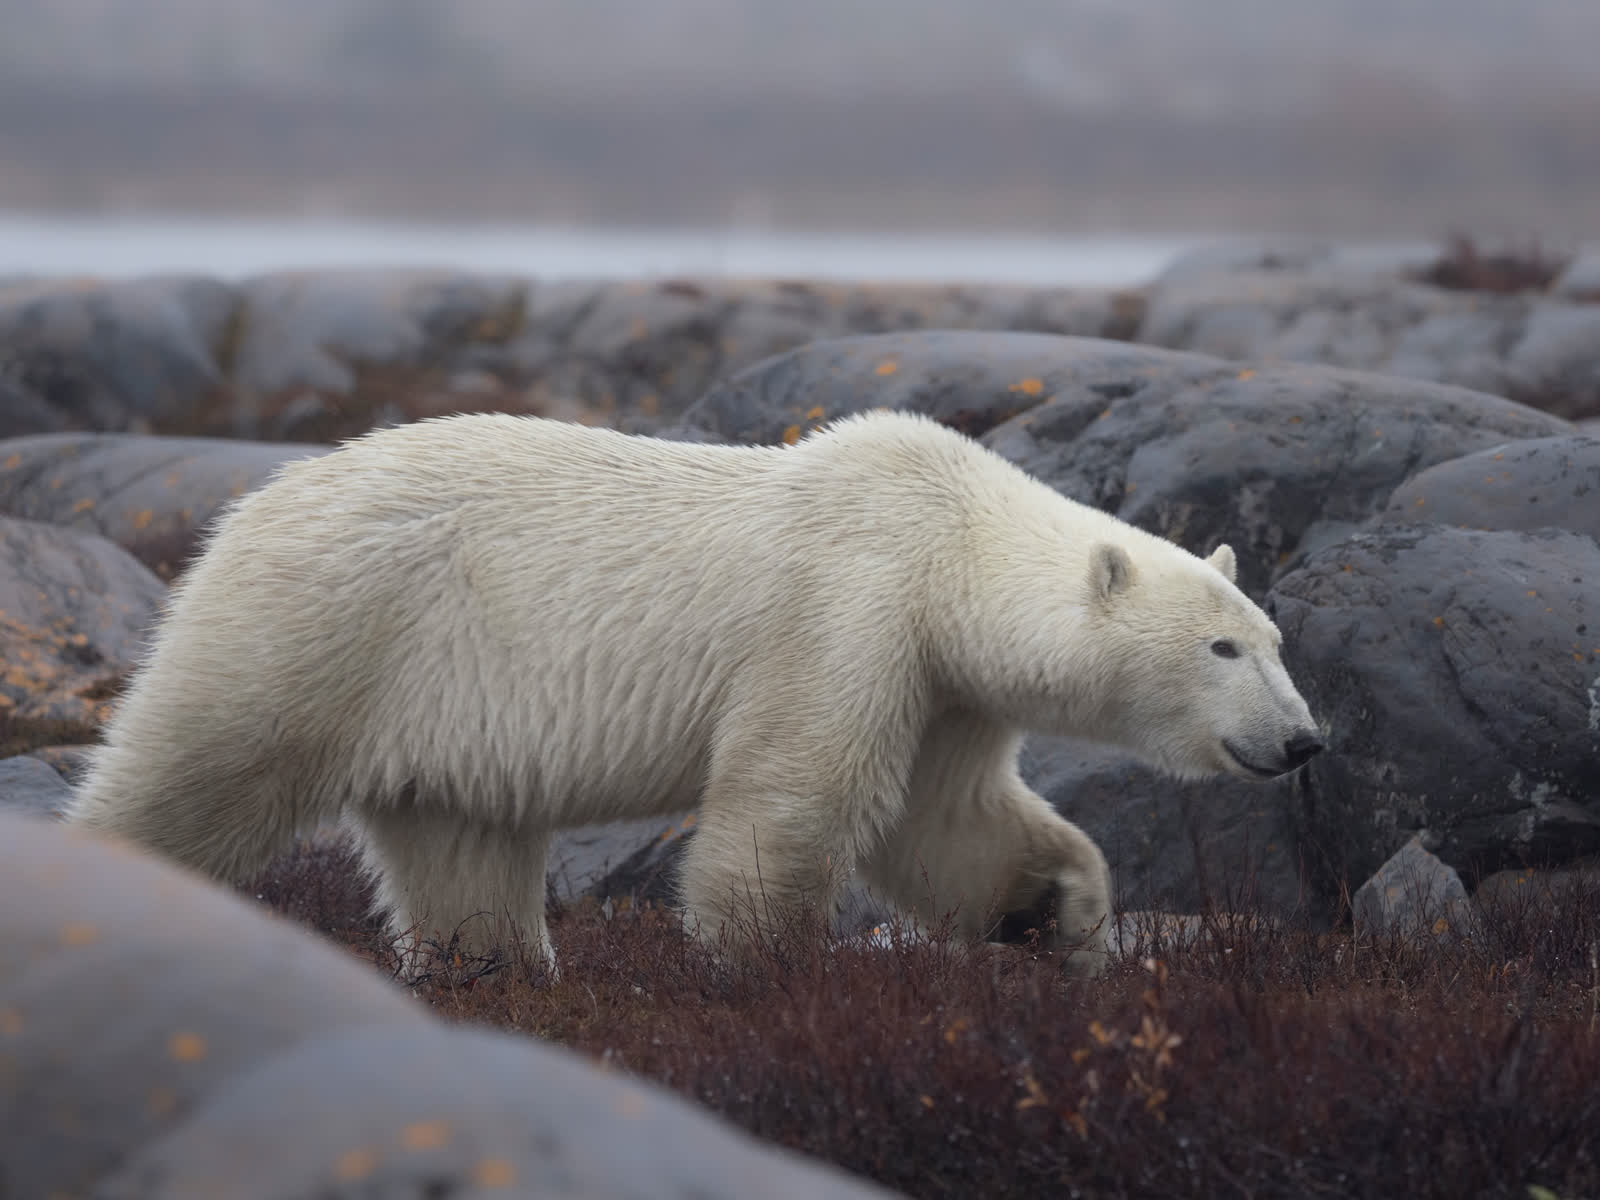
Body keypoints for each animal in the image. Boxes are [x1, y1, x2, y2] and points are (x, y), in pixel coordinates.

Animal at [65, 409, 1323, 979]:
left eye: (1273, 639)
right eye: (1222, 648)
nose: (1304, 741)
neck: (944, 541)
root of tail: (251, 503)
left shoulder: (941, 685)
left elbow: (948, 821)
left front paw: (1053, 910)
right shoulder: (848, 617)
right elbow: (795, 800)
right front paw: (770, 968)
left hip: (430, 698)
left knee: (460, 845)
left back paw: (503, 977)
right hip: (324, 626)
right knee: (195, 771)